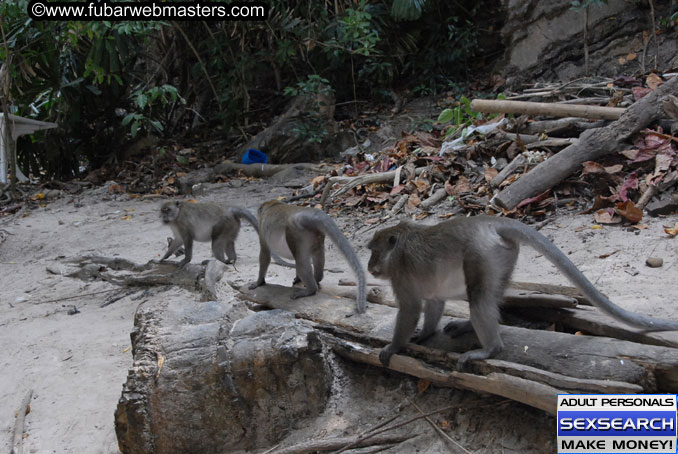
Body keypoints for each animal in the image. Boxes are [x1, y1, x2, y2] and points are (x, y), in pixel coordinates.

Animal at [370, 215, 678, 368]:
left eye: (373, 251)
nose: (371, 265)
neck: (399, 245)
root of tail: (488, 221)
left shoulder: (399, 273)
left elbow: (410, 309)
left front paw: (394, 347)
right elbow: (434, 301)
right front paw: (425, 334)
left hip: (481, 252)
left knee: (479, 297)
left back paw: (490, 349)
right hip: (502, 254)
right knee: (489, 294)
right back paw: (471, 326)